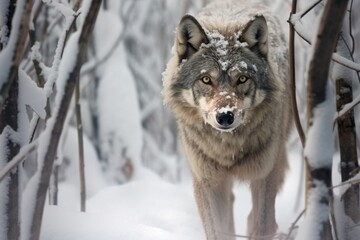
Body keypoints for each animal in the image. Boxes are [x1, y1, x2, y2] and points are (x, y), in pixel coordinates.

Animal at [162, 0, 292, 239]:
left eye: (242, 78)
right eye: (206, 79)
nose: (224, 116)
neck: (228, 148)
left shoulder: (264, 175)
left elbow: (263, 225)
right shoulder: (207, 182)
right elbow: (218, 231)